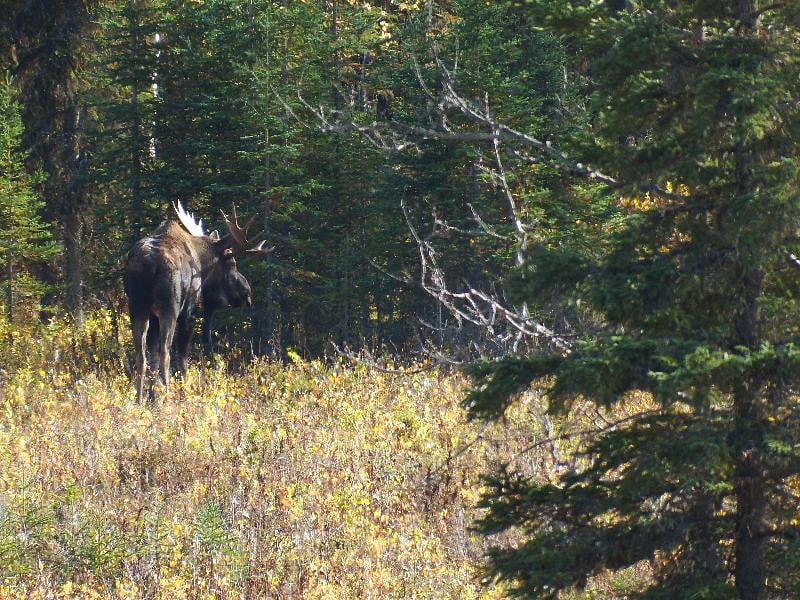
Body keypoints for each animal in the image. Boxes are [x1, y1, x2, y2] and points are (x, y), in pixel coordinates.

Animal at [124, 201, 270, 401]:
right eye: (232, 263)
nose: (247, 294)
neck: (203, 262)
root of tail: (147, 264)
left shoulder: (153, 316)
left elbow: (152, 355)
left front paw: (152, 396)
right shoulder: (188, 311)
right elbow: (182, 359)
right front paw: (183, 392)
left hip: (137, 307)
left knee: (141, 354)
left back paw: (139, 399)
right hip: (169, 308)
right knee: (166, 353)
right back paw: (168, 396)